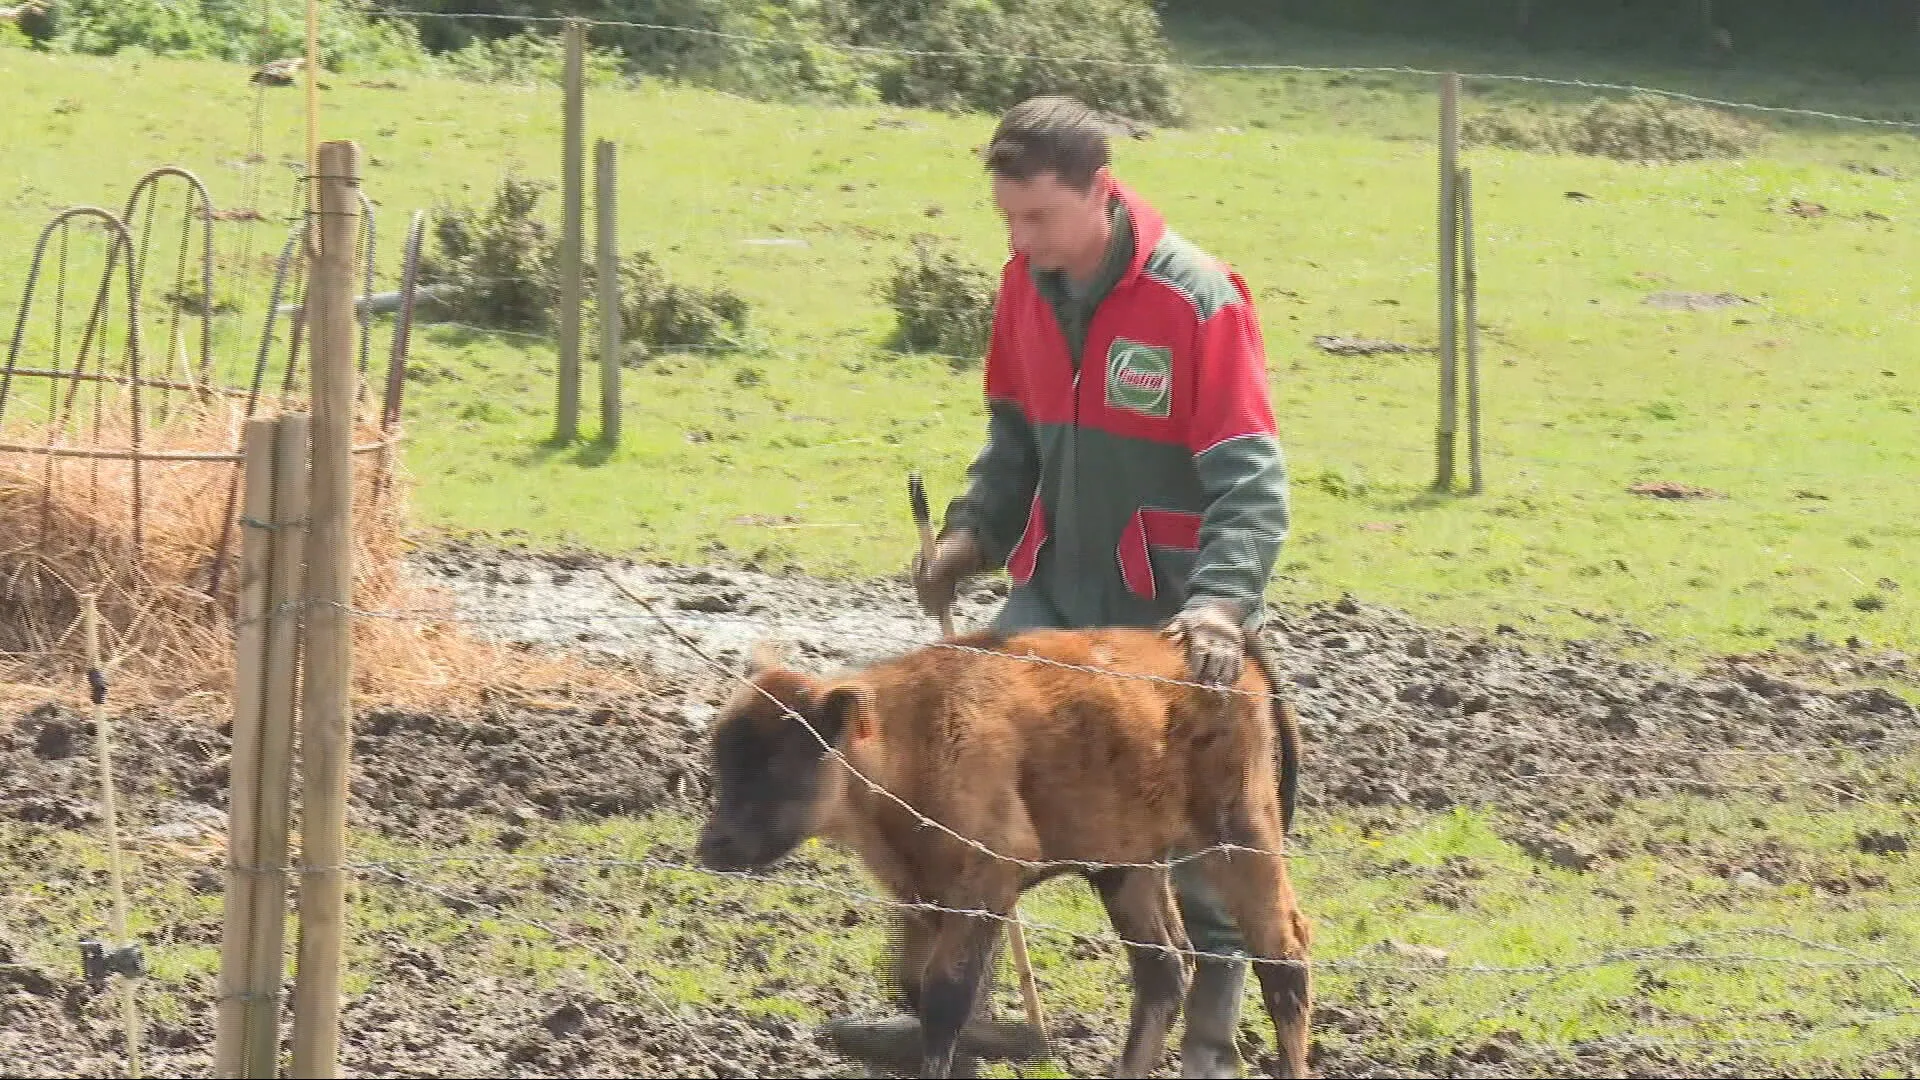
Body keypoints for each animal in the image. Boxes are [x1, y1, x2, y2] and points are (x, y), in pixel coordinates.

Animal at [698, 626, 1313, 1068]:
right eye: (722, 755)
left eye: (780, 763)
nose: (713, 848)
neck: (909, 736)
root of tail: (1237, 660)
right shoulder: (925, 894)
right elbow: (922, 992)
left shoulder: (983, 883)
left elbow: (946, 996)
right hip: (1127, 867)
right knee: (1164, 969)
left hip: (1241, 838)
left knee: (1283, 957)